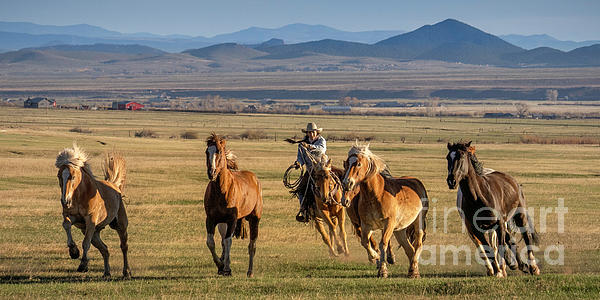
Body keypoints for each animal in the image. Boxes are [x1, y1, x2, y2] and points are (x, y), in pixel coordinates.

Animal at [54, 144, 130, 278]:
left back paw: (126, 272)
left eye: (73, 177)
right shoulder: (72, 217)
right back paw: (106, 273)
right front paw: (74, 251)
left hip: (120, 225)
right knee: (104, 249)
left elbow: (85, 243)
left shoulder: (90, 220)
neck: (80, 195)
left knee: (124, 246)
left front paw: (83, 265)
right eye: (59, 176)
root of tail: (115, 187)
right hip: (94, 232)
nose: (65, 200)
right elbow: (66, 225)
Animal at [205, 132, 262, 278]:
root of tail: (254, 179)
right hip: (222, 223)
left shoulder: (232, 219)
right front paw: (220, 265)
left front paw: (226, 268)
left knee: (252, 244)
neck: (222, 190)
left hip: (254, 219)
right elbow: (211, 242)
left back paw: (250, 271)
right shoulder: (211, 219)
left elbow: (228, 241)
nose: (211, 172)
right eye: (207, 152)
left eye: (219, 151)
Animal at [340, 144, 428, 278]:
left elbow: (383, 244)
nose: (347, 183)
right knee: (409, 249)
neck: (377, 194)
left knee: (418, 244)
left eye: (358, 164)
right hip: (399, 229)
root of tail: (417, 182)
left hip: (418, 222)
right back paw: (413, 271)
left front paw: (382, 270)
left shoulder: (388, 223)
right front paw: (375, 257)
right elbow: (365, 242)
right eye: (346, 165)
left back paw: (413, 270)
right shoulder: (366, 225)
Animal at [446, 142, 540, 278]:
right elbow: (488, 248)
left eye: (461, 156)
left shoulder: (498, 224)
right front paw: (498, 270)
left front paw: (501, 269)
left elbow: (499, 246)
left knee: (526, 236)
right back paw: (519, 265)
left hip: (519, 215)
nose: (451, 181)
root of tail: (512, 180)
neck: (478, 196)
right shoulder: (476, 229)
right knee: (509, 240)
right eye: (448, 157)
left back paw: (533, 267)